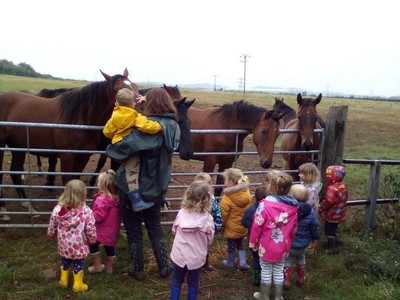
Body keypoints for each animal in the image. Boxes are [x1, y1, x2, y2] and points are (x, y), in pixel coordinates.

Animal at [0, 69, 139, 204]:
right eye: (118, 89)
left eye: (135, 86)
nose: (138, 107)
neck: (80, 118)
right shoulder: (67, 156)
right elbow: (67, 181)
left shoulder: (83, 157)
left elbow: (75, 179)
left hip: (18, 147)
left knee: (15, 173)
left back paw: (26, 203)